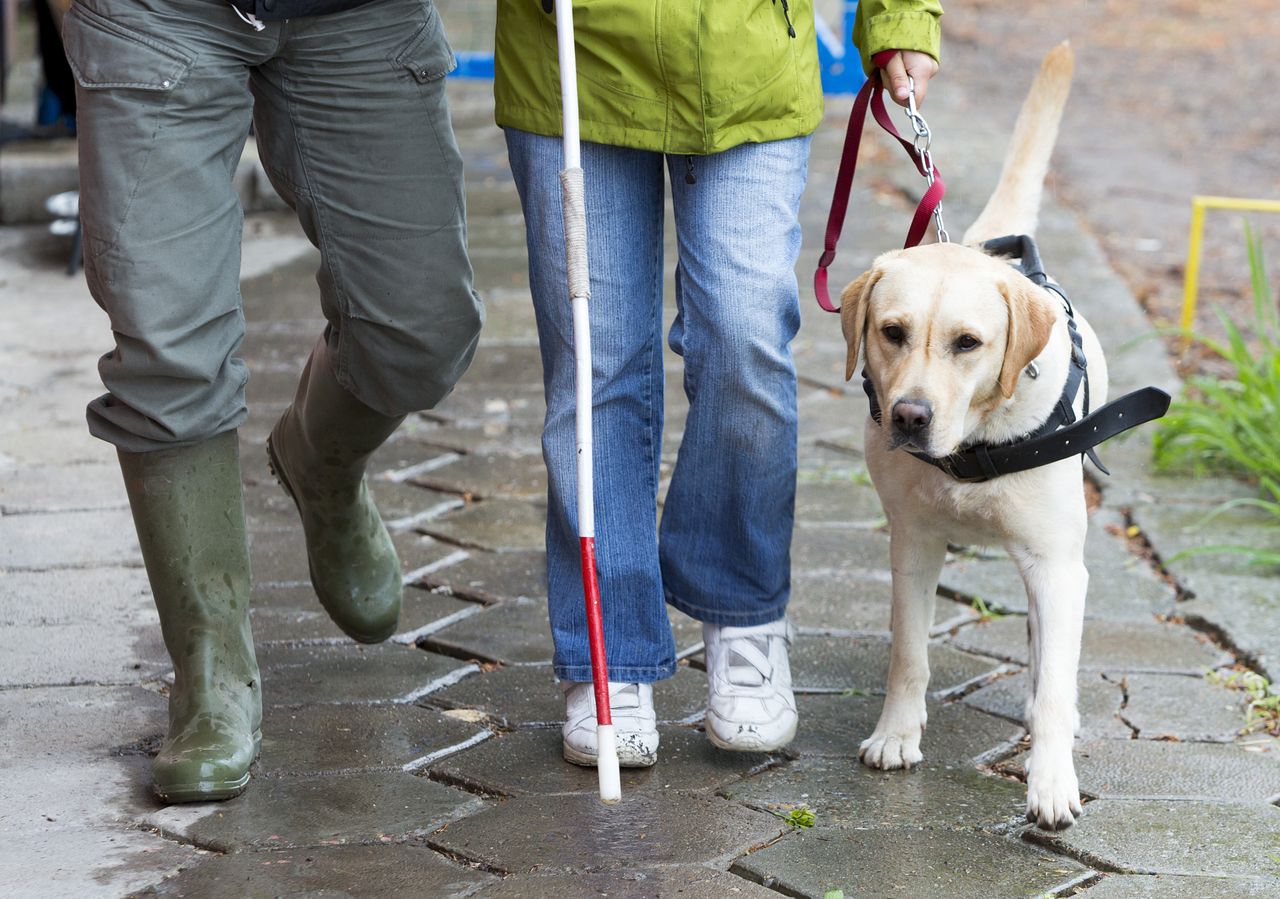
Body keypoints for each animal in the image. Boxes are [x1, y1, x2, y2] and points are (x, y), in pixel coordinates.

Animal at [839, 42, 1100, 829]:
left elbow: (1055, 686)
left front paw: (1051, 779)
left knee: (1048, 654)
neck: (971, 446)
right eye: (892, 332)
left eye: (968, 343)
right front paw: (897, 734)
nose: (910, 416)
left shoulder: (1055, 563)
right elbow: (909, 654)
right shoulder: (912, 546)